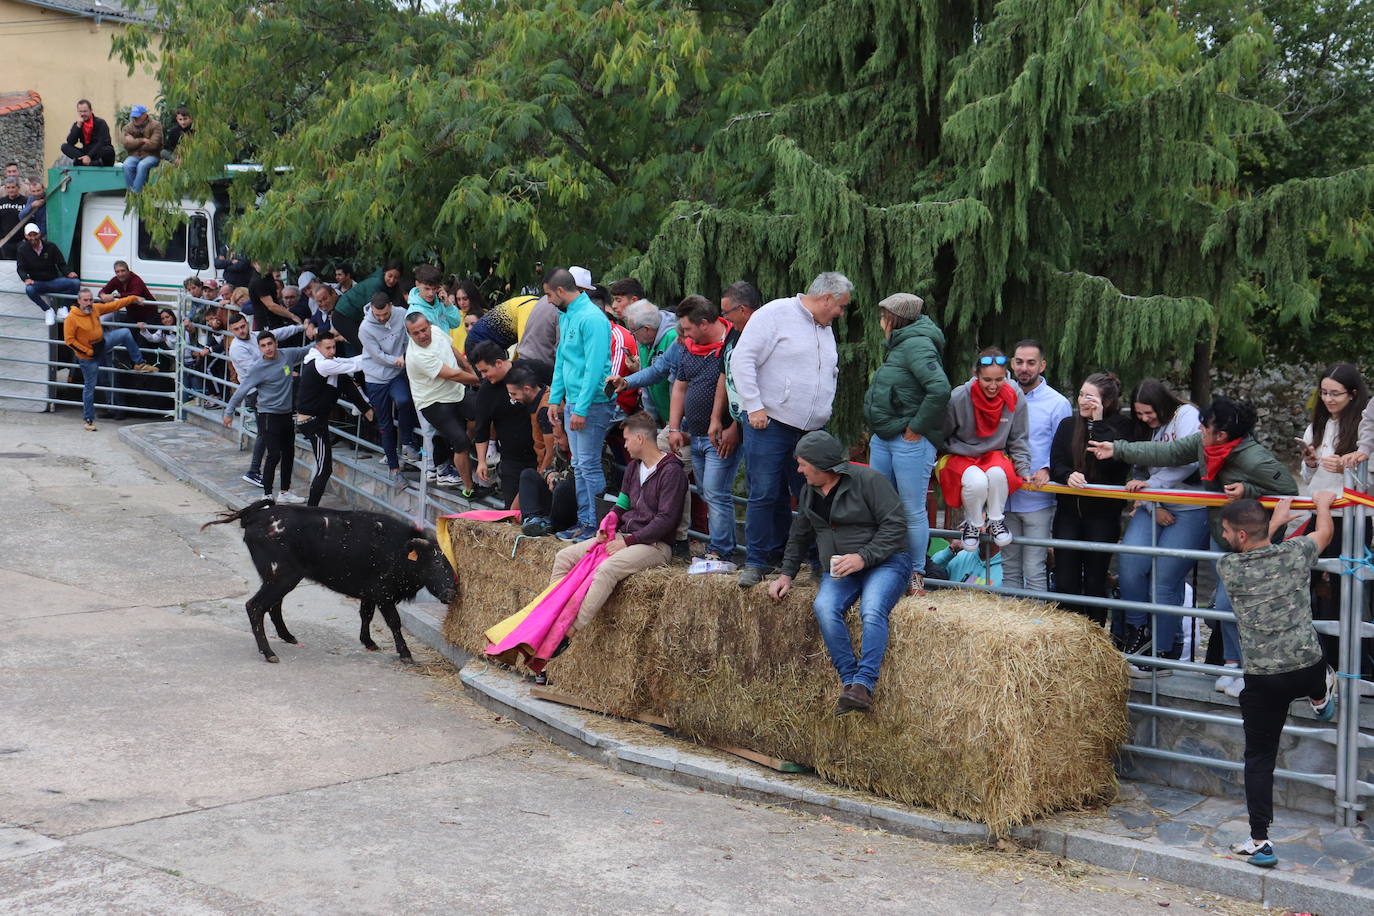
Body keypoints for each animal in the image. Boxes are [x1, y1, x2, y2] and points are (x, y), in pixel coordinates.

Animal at [201, 502, 461, 667]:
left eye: (452, 566)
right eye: (435, 563)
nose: (451, 592)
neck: (398, 547)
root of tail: (255, 516)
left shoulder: (369, 592)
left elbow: (365, 614)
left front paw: (369, 642)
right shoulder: (384, 594)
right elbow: (394, 623)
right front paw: (405, 654)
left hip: (280, 579)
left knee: (273, 606)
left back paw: (287, 636)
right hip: (280, 577)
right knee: (255, 607)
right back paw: (268, 653)